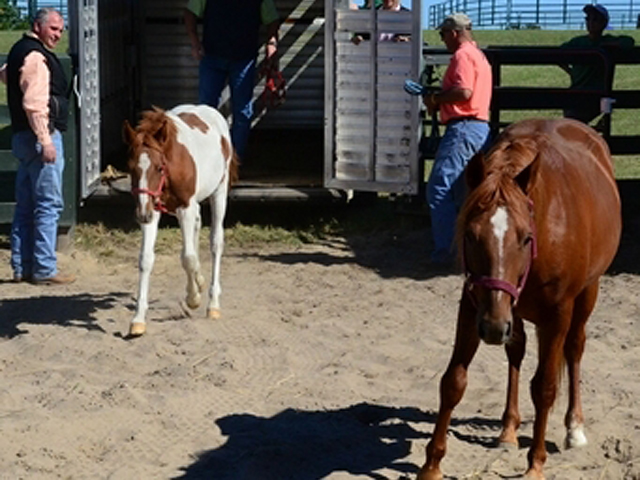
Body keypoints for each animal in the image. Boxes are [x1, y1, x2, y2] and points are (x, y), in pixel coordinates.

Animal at [123, 104, 238, 337]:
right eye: (131, 168)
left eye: (159, 167)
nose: (142, 215)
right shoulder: (154, 209)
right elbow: (146, 259)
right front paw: (138, 319)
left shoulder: (184, 207)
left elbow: (188, 258)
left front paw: (193, 298)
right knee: (197, 225)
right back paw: (200, 282)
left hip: (219, 192)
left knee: (215, 242)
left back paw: (213, 303)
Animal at [417, 118, 621, 480]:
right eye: (470, 235)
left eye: (526, 237)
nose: (493, 328)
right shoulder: (474, 305)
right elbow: (453, 381)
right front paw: (432, 465)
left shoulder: (556, 314)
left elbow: (544, 388)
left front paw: (535, 464)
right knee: (516, 352)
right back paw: (508, 429)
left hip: (585, 294)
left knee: (574, 348)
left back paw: (574, 427)